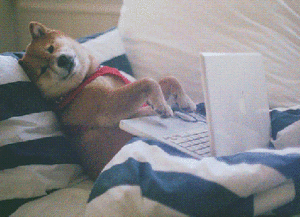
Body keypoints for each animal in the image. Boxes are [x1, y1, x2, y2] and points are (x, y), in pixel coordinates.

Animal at [19, 21, 197, 178]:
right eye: (43, 70)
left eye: (50, 48)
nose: (61, 60)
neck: (84, 80)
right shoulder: (109, 105)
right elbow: (148, 82)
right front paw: (163, 106)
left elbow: (169, 79)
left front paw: (185, 101)